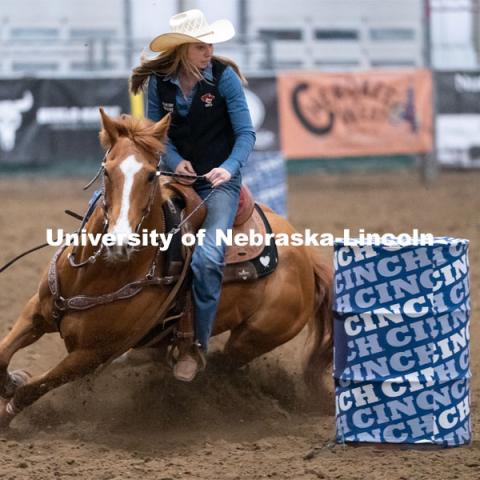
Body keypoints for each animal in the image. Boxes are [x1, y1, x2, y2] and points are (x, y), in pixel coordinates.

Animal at [0, 109, 332, 428]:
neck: (95, 275)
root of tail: (307, 259)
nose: (119, 242)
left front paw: (8, 412)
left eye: (150, 176)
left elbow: (36, 387)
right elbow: (3, 354)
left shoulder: (91, 355)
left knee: (219, 364)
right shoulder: (36, 310)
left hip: (253, 338)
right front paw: (12, 379)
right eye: (107, 171)